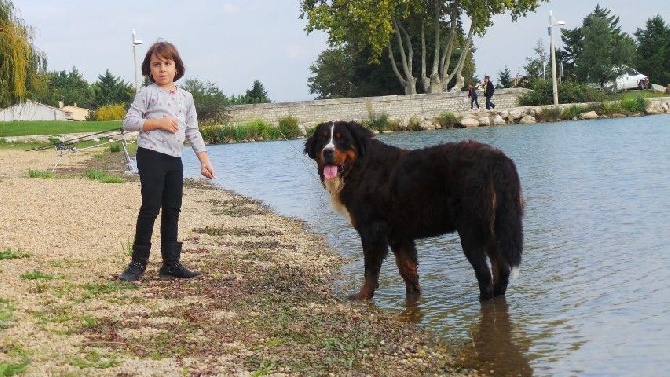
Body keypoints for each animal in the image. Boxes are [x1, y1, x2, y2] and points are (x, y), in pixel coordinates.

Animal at [304, 120, 524, 302]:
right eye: (323, 139)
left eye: (342, 139)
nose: (327, 151)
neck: (360, 167)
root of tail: (497, 159)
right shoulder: (399, 235)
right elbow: (408, 270)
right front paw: (413, 296)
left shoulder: (373, 230)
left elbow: (371, 270)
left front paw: (363, 296)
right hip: (494, 229)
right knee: (501, 268)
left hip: (472, 231)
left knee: (484, 274)